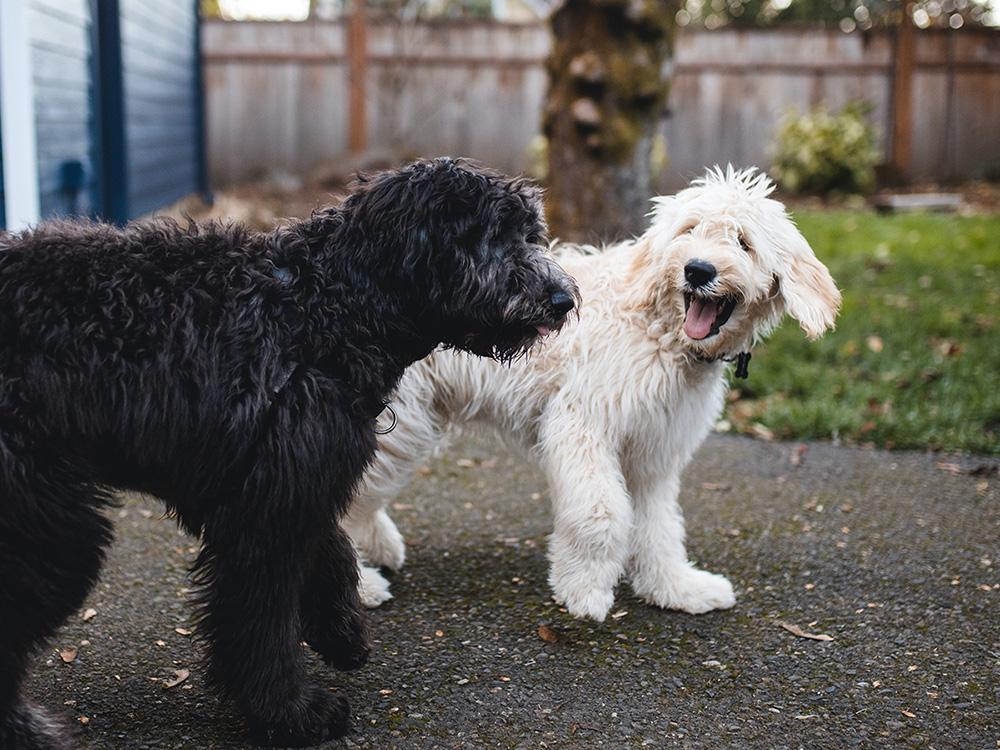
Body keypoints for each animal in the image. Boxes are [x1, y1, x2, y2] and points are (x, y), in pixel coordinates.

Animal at [0, 156, 580, 748]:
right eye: (489, 235)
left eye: (529, 233)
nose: (562, 300)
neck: (320, 311)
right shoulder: (266, 511)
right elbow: (262, 620)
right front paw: (291, 713)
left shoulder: (290, 480)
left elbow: (333, 550)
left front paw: (342, 633)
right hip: (51, 529)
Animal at [348, 169, 840, 624]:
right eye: (689, 230)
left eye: (743, 241)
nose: (698, 270)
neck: (658, 331)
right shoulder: (582, 425)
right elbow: (599, 514)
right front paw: (583, 590)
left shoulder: (654, 451)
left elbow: (659, 524)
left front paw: (674, 587)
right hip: (400, 423)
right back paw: (363, 585)